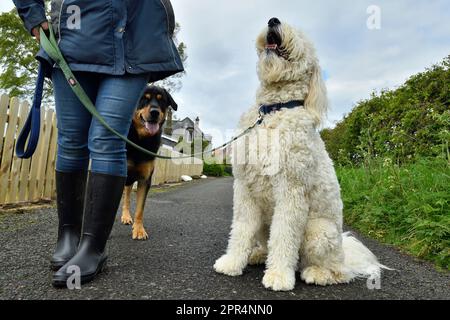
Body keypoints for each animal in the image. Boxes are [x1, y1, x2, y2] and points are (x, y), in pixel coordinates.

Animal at [121, 85, 178, 240]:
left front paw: (139, 230)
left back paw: (127, 217)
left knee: (127, 198)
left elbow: (140, 209)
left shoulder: (145, 180)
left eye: (161, 100)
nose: (154, 112)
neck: (141, 140)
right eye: (144, 99)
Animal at [214, 18, 386, 292]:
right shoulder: (244, 187)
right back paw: (258, 254)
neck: (274, 109)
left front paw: (278, 276)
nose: (273, 20)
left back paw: (316, 273)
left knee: (338, 272)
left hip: (319, 231)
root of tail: (344, 255)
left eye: (303, 35)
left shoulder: (291, 190)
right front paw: (231, 263)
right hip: (265, 221)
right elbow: (240, 229)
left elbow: (284, 236)